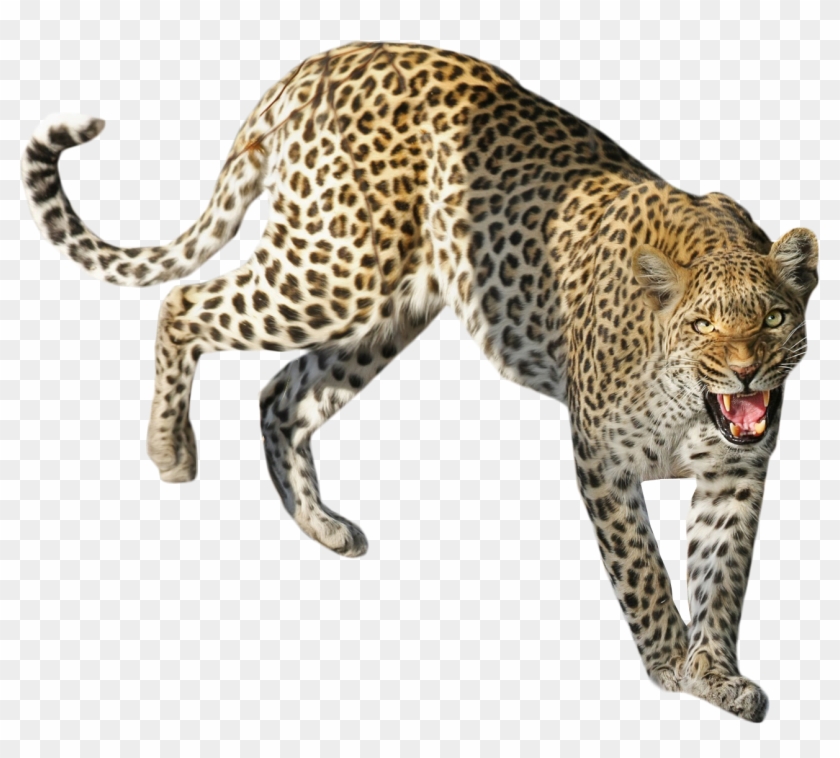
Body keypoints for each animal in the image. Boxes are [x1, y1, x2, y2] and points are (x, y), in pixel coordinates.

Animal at [22, 41, 818, 722]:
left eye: (776, 317)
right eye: (703, 324)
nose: (746, 369)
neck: (690, 403)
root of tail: (319, 63)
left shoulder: (735, 475)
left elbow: (722, 577)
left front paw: (715, 675)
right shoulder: (603, 458)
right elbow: (643, 571)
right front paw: (669, 665)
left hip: (382, 314)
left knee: (281, 395)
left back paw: (323, 528)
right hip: (332, 271)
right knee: (183, 303)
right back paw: (169, 449)